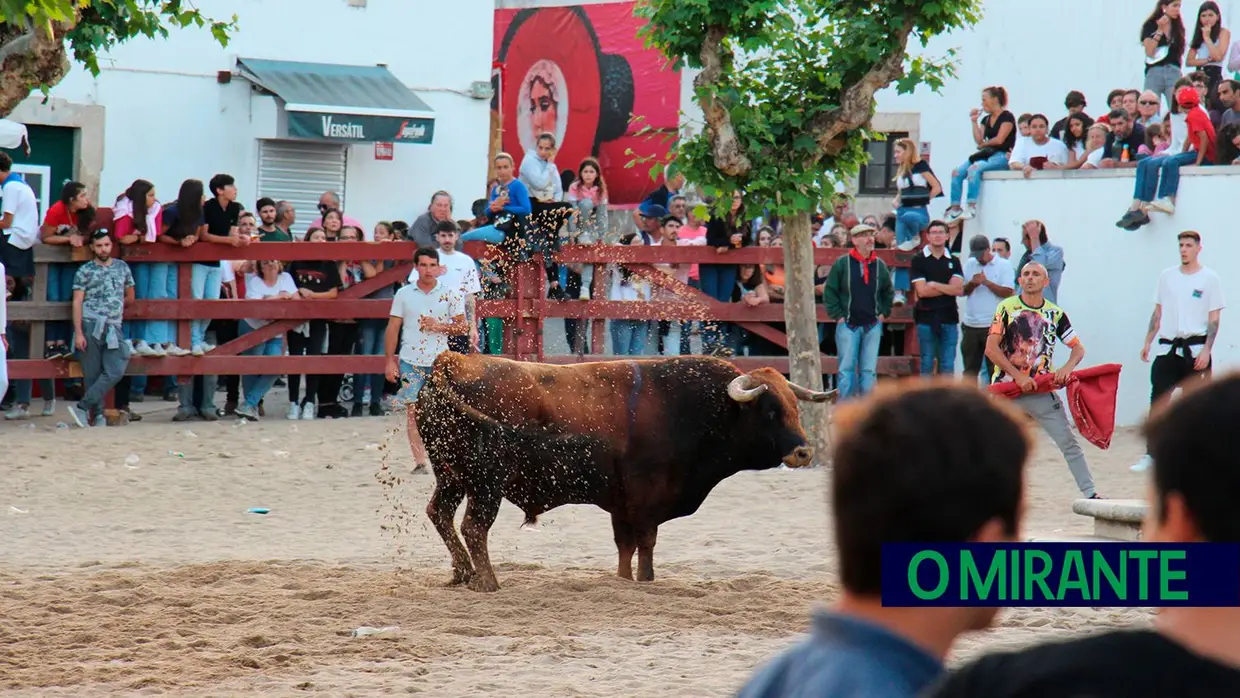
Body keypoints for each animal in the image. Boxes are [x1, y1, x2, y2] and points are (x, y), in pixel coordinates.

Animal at [416, 352, 833, 592]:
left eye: (794, 405)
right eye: (770, 411)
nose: (804, 452)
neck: (692, 407)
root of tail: (451, 362)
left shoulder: (621, 503)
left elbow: (625, 545)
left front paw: (623, 580)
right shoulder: (647, 499)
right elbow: (646, 543)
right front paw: (646, 581)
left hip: (451, 476)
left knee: (440, 514)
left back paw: (462, 574)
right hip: (486, 483)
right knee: (473, 527)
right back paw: (486, 581)